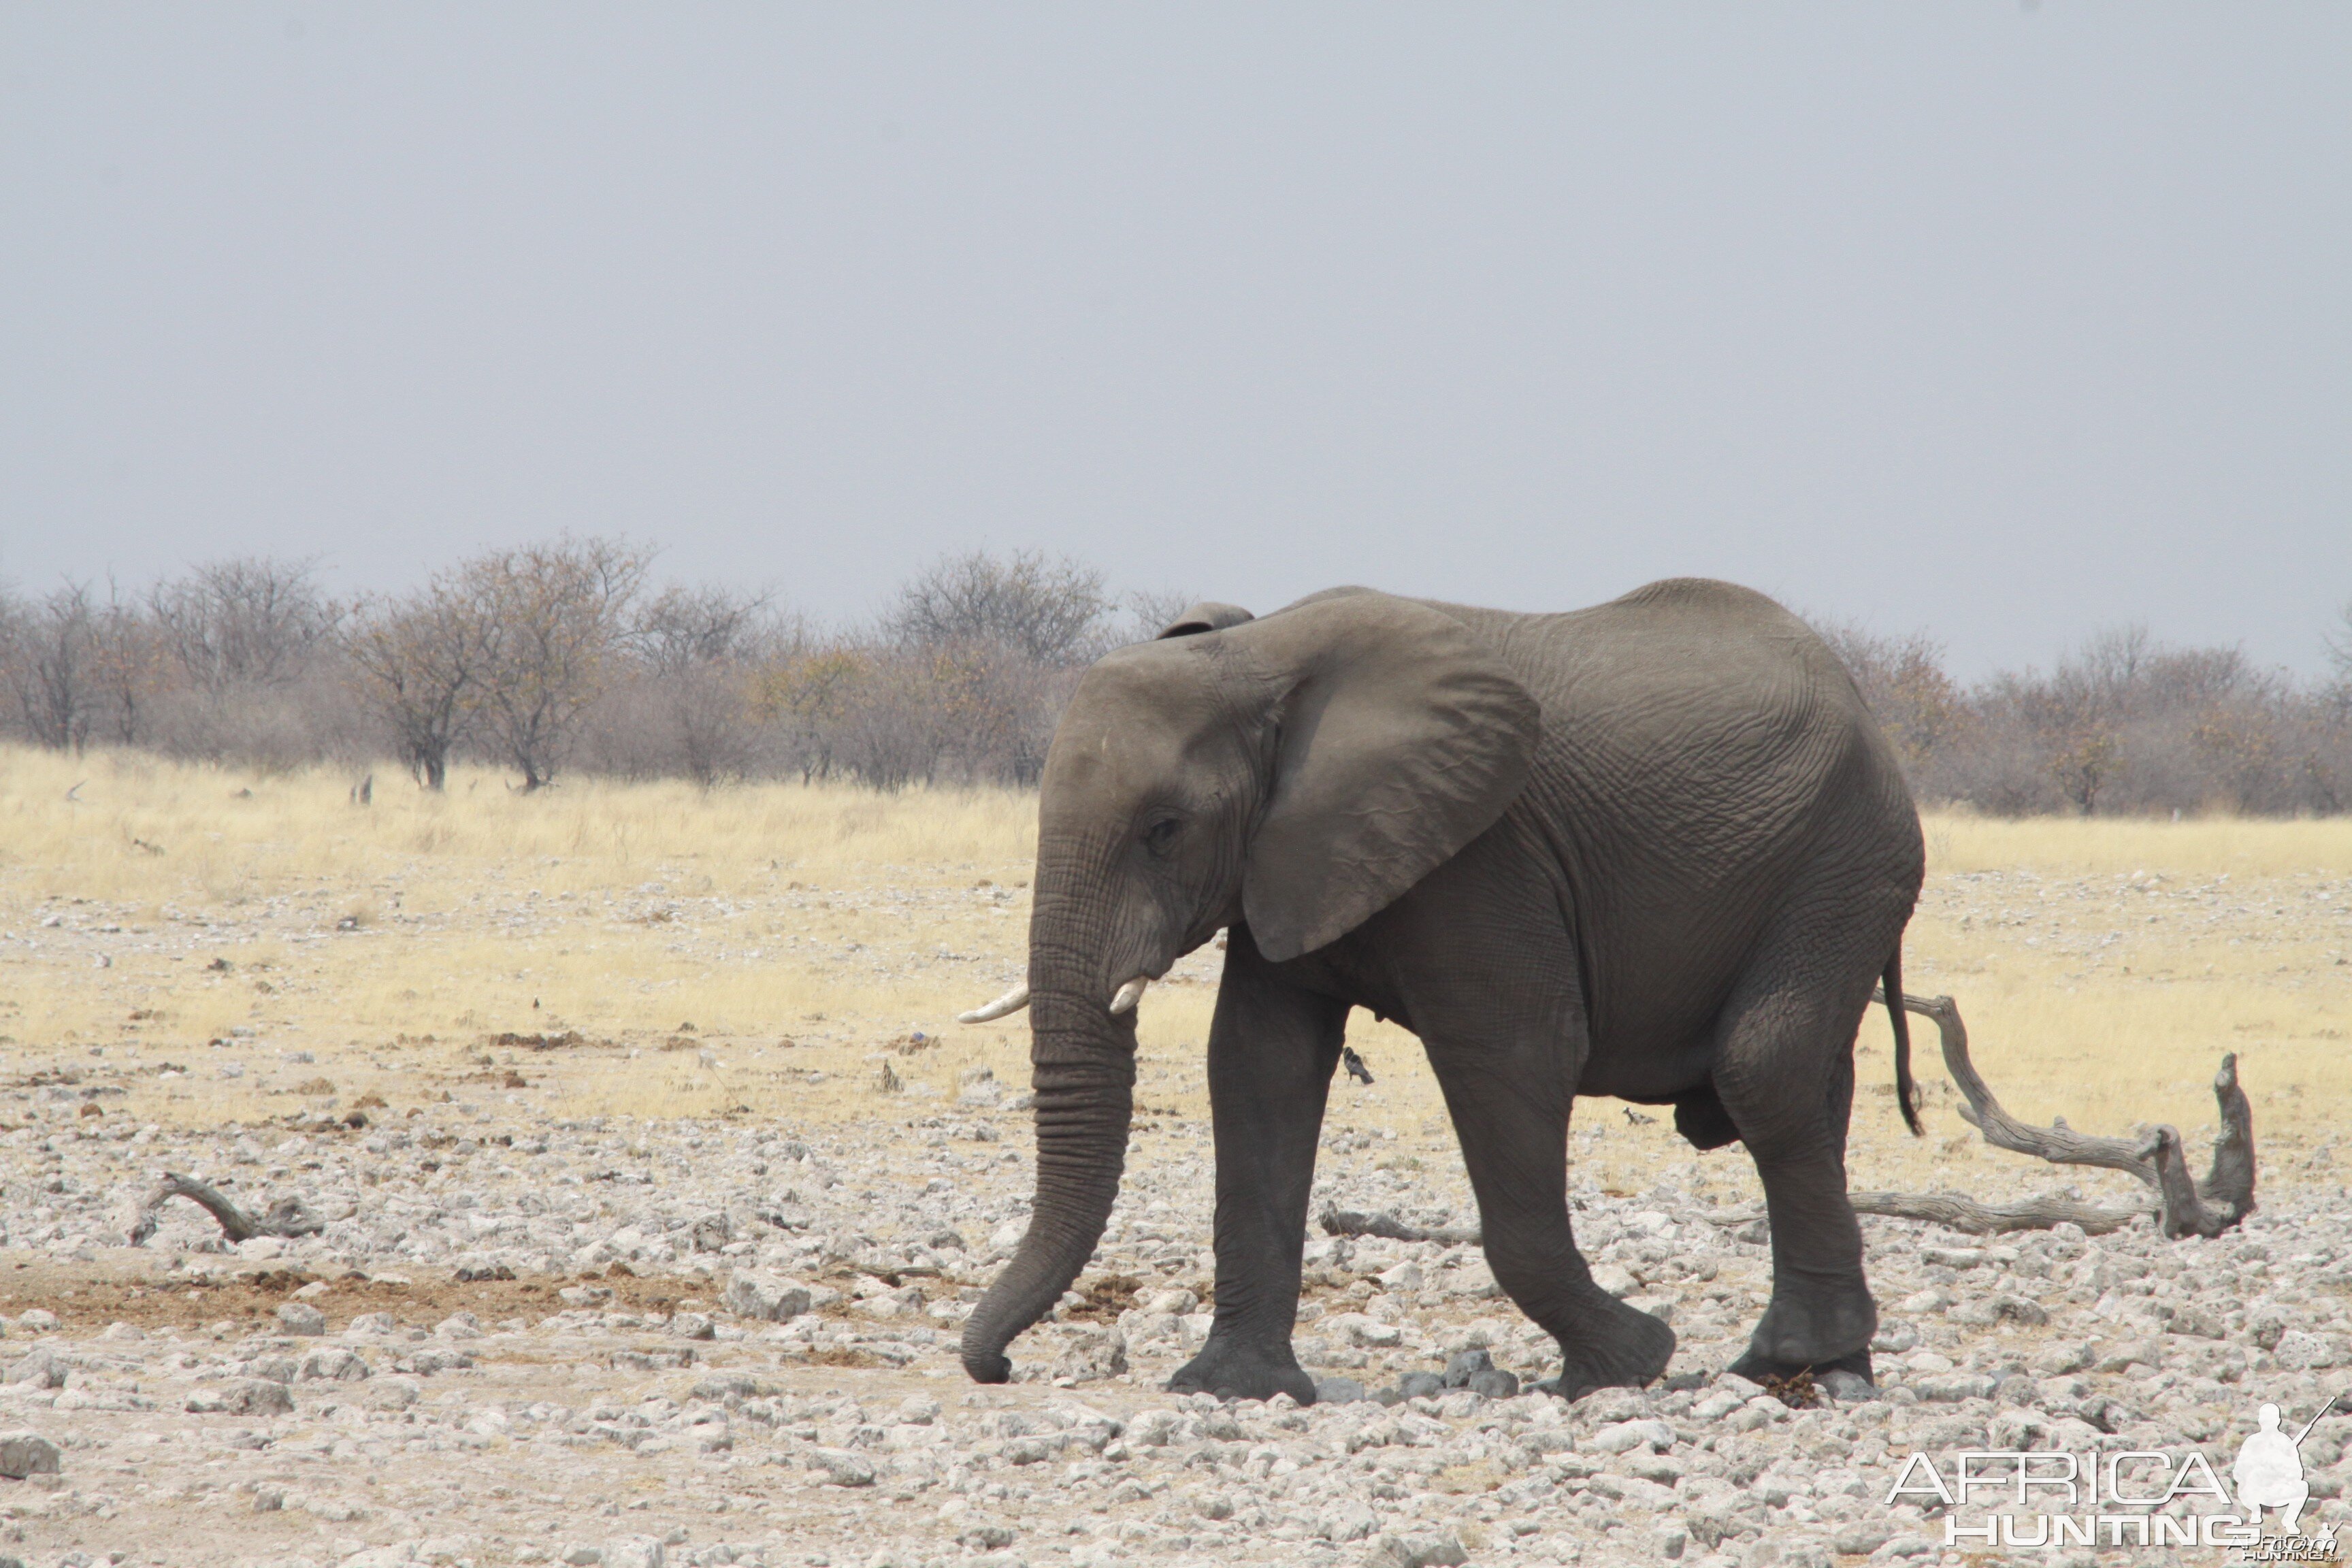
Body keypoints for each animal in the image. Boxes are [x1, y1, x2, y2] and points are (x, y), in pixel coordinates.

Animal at [955, 581, 1928, 1410]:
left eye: (1164, 831)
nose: (998, 1369)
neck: (1258, 655)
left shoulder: (1484, 856)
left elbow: (1517, 1054)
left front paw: (1629, 1365)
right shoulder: (1291, 858)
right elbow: (1258, 1066)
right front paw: (1231, 1390)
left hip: (1849, 860)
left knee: (1763, 1070)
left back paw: (1789, 1363)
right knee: (1813, 1087)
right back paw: (1823, 1367)